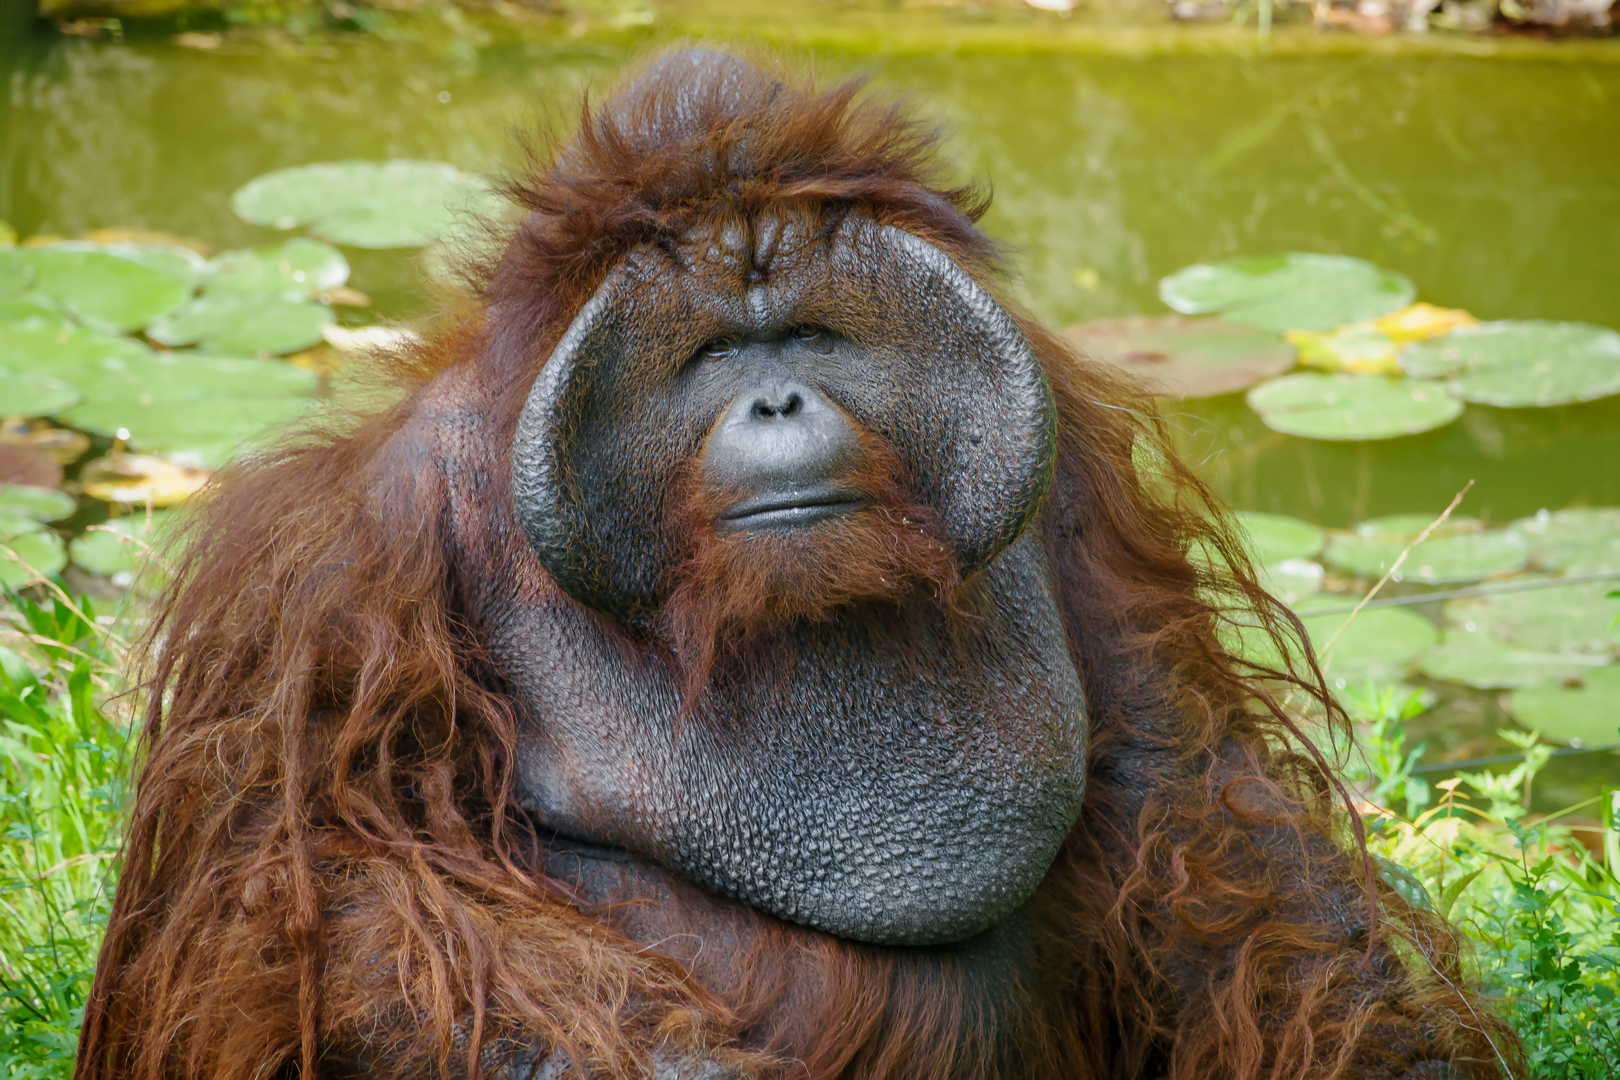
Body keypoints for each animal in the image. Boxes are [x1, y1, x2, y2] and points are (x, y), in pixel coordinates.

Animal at [77, 48, 1513, 1080]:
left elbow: (1195, 809)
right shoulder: (335, 569)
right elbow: (330, 890)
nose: (778, 399)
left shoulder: (1080, 481)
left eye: (811, 334)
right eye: (717, 353)